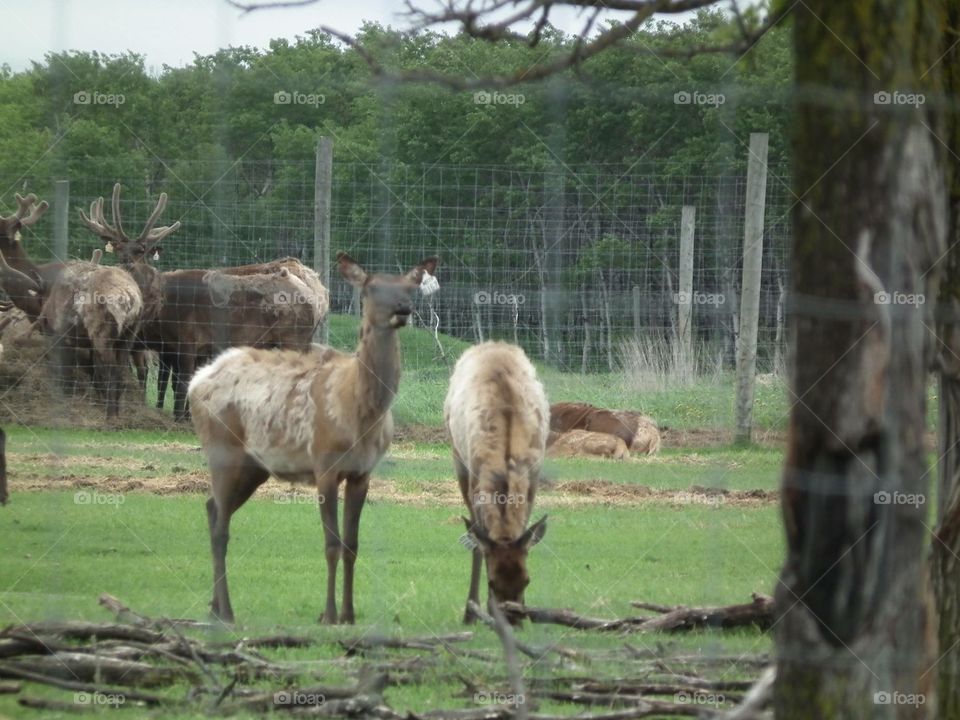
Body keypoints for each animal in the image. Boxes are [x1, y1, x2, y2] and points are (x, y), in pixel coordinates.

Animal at [188, 252, 438, 624]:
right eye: (371, 288)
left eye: (411, 287)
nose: (403, 308)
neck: (360, 413)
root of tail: (196, 382)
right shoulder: (324, 464)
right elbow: (331, 543)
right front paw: (329, 615)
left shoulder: (363, 472)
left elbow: (352, 545)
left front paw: (349, 614)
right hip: (222, 449)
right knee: (220, 527)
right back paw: (228, 613)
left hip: (254, 466)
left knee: (213, 509)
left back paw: (215, 608)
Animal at [443, 340, 549, 625]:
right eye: (491, 583)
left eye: (527, 580)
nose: (514, 620)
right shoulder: (474, 479)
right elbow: (480, 541)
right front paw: (478, 611)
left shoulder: (533, 478)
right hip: (457, 456)